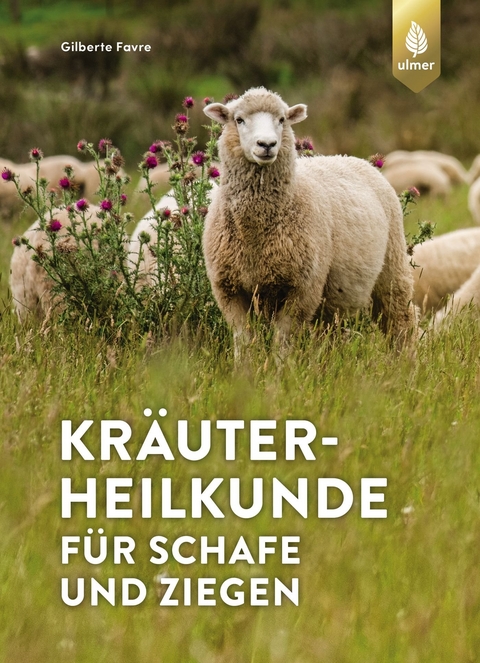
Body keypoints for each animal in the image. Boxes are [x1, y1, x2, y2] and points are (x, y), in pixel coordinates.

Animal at [202, 87, 416, 355]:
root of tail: (351, 158)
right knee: (332, 333)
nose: (267, 144)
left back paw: (406, 359)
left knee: (401, 319)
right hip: (334, 299)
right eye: (238, 120)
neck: (255, 235)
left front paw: (280, 367)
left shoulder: (303, 289)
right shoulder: (229, 289)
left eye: (282, 119)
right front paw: (245, 367)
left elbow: (282, 340)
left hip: (392, 266)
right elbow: (244, 340)